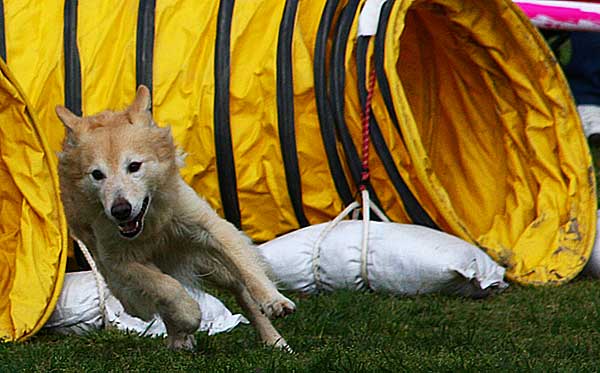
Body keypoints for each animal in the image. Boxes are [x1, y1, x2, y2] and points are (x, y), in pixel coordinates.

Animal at [56, 85, 296, 350]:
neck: (150, 224)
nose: (120, 210)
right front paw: (188, 316)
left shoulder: (210, 227)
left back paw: (274, 340)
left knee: (241, 292)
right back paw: (179, 336)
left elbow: (248, 269)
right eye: (97, 175)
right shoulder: (117, 261)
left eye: (134, 166)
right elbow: (166, 287)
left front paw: (274, 300)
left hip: (211, 264)